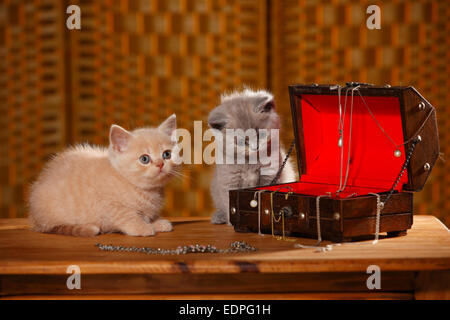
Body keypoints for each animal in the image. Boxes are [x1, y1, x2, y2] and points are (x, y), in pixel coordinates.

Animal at [27, 114, 179, 236]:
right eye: (145, 159)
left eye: (167, 154)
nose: (160, 164)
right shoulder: (109, 204)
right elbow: (127, 216)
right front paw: (143, 228)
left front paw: (156, 223)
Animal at [208, 89, 298, 225]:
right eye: (242, 141)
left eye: (260, 134)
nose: (255, 147)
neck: (250, 161)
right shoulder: (229, 180)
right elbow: (229, 202)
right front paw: (232, 221)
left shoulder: (270, 175)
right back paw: (219, 217)